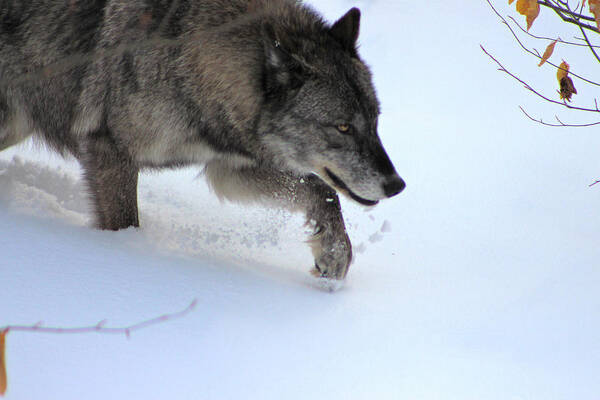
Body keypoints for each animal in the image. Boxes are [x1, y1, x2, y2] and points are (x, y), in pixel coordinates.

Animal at [0, 0, 406, 282]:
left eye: (374, 122)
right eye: (343, 127)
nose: (396, 185)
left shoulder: (229, 170)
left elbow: (322, 192)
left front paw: (334, 255)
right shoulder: (110, 153)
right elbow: (125, 224)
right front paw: (124, 255)